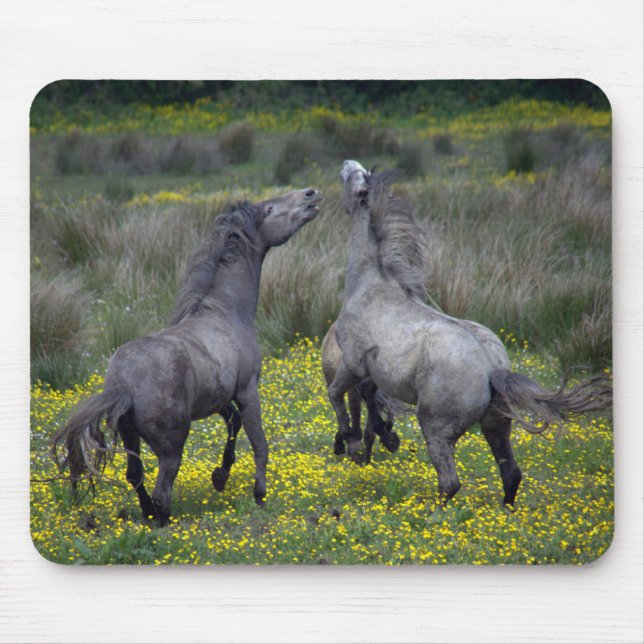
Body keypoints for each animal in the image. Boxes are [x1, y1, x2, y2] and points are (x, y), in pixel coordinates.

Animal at [52, 187, 322, 525]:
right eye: (270, 209)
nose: (310, 195)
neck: (225, 313)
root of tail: (123, 384)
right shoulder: (247, 390)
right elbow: (259, 442)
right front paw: (259, 494)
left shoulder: (219, 398)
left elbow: (233, 425)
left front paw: (219, 476)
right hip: (172, 443)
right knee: (161, 487)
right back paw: (163, 520)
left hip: (131, 436)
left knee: (135, 475)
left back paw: (149, 515)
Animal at [327, 160, 611, 507]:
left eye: (354, 178)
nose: (345, 164)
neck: (371, 285)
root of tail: (492, 370)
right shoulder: (371, 371)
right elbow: (368, 397)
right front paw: (381, 436)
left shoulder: (352, 361)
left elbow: (337, 396)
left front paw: (349, 439)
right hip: (496, 424)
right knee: (511, 473)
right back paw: (504, 513)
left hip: (436, 426)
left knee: (450, 482)